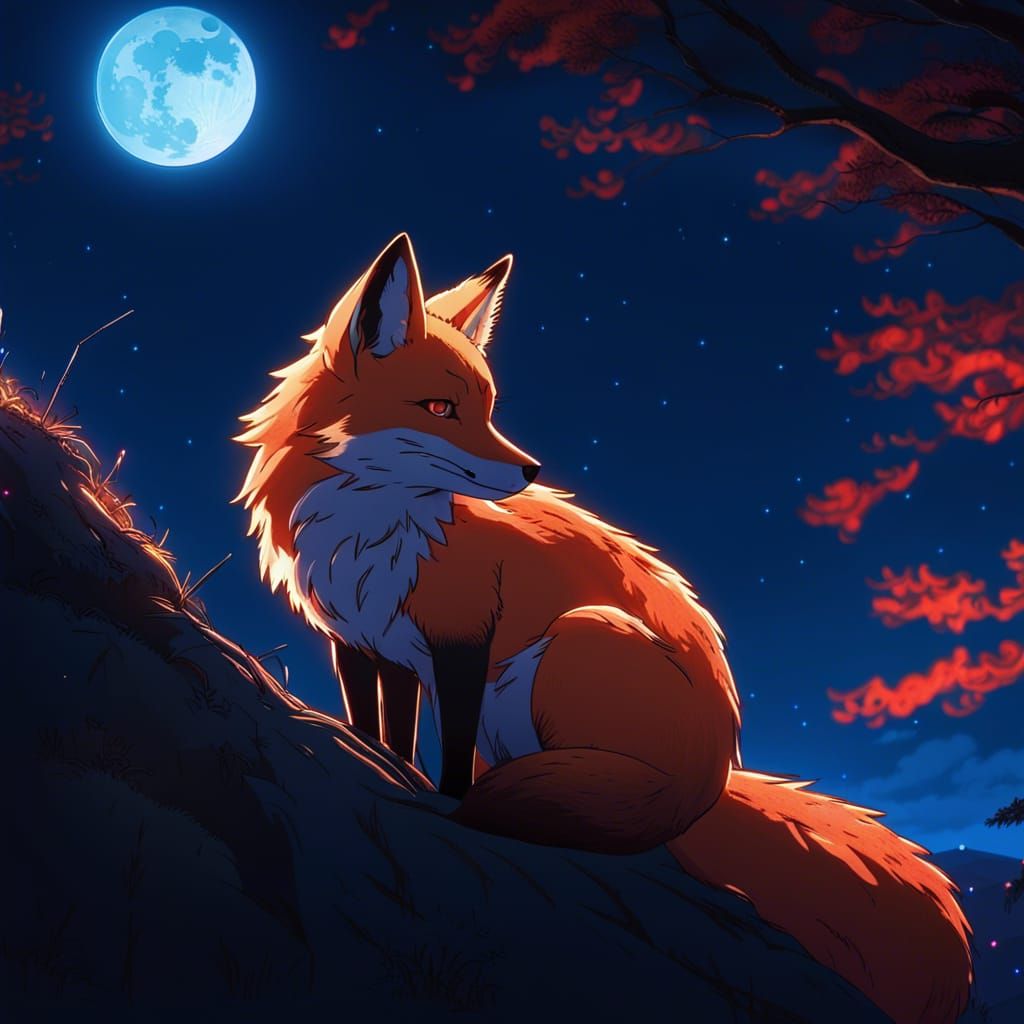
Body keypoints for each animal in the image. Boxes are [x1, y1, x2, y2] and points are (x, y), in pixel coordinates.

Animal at [235, 233, 973, 1024]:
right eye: (440, 407)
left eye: (487, 409)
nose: (530, 471)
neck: (374, 532)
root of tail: (713, 773)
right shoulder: (367, 644)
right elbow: (381, 733)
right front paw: (386, 763)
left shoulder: (461, 638)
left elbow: (450, 756)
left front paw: (446, 800)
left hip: (576, 638)